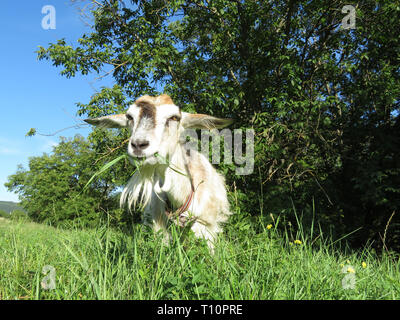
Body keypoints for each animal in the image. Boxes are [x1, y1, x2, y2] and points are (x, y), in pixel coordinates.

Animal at [85, 94, 234, 251]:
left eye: (175, 117)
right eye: (129, 117)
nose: (139, 144)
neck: (181, 197)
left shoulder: (205, 224)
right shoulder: (159, 224)